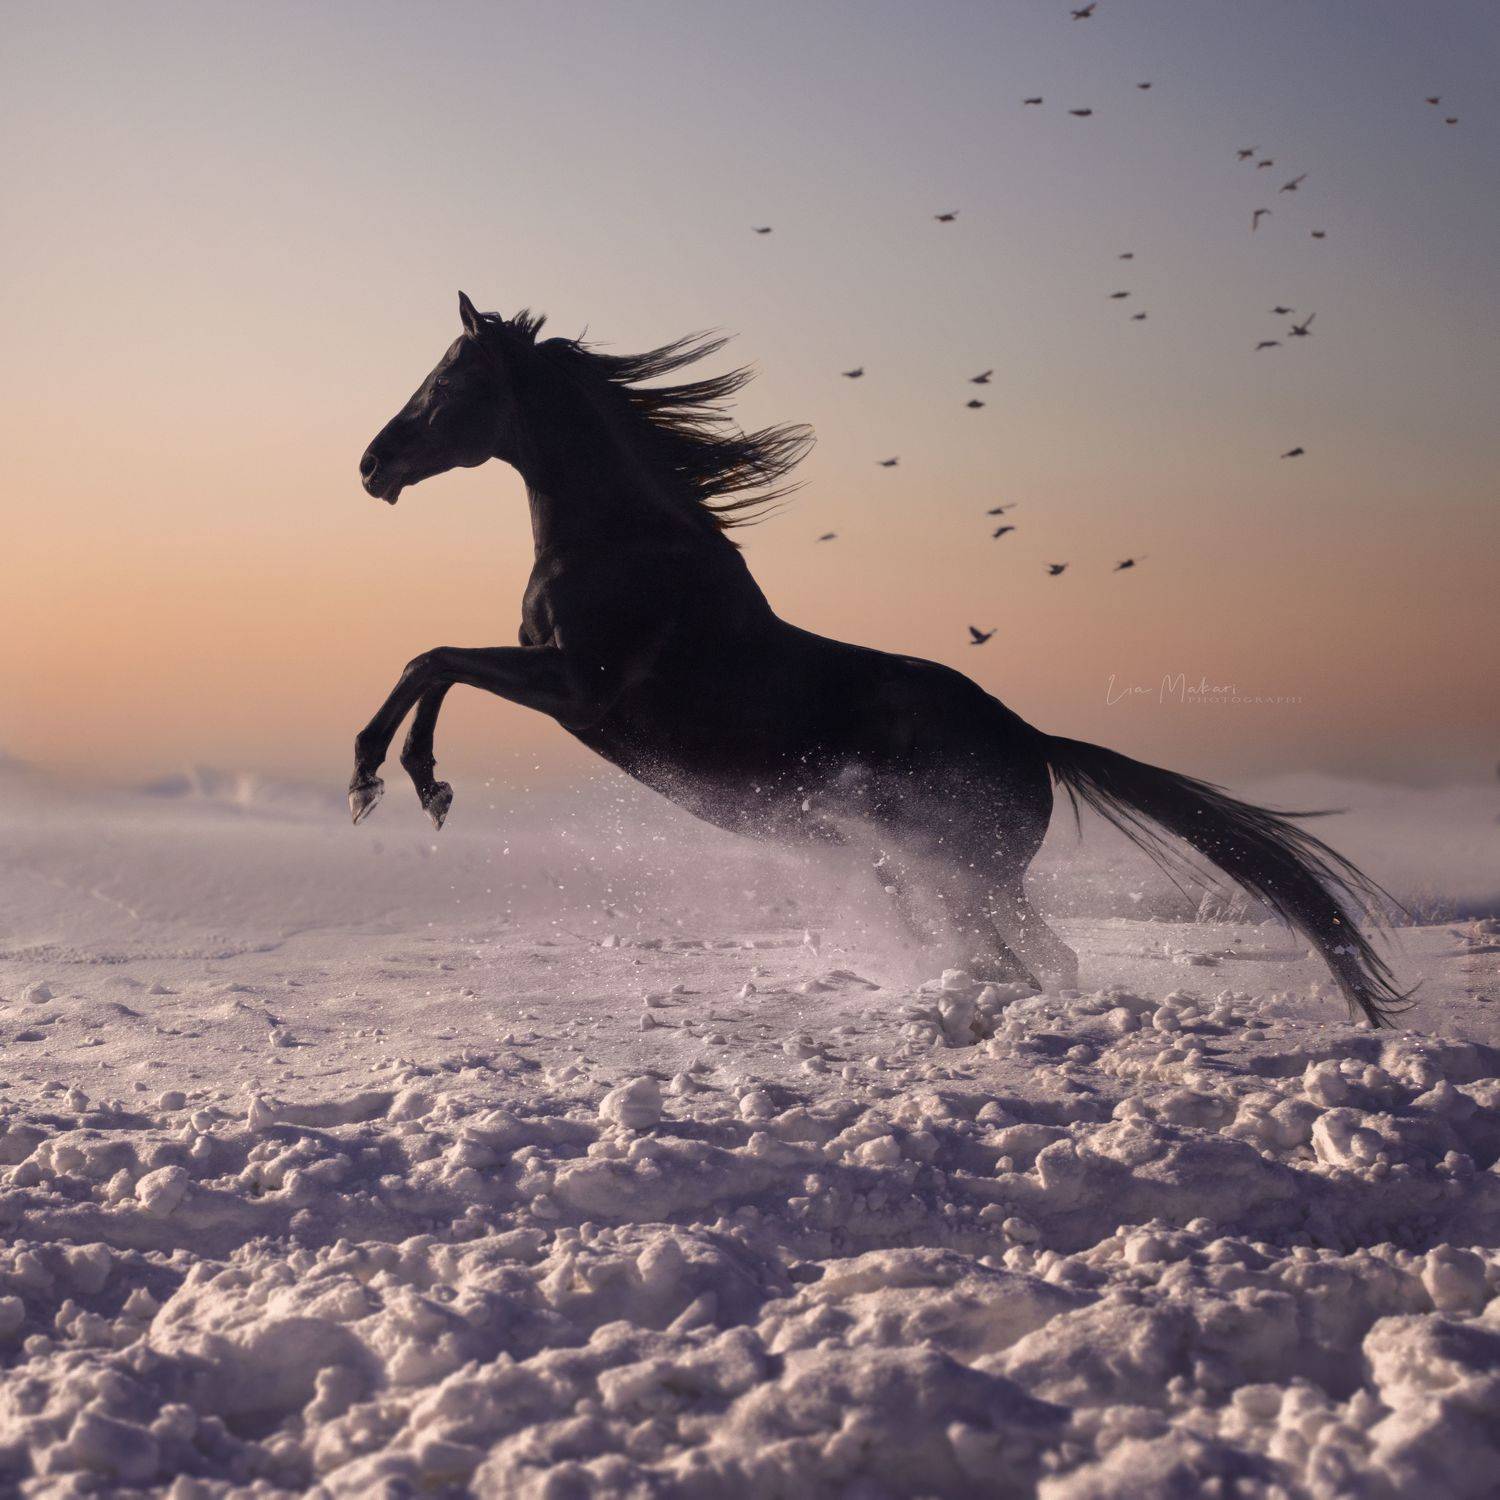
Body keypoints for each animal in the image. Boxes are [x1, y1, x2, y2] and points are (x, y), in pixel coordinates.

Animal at [351, 293, 1407, 1026]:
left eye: (449, 387)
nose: (371, 464)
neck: (625, 543)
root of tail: (1036, 742)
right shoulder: (559, 685)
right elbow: (435, 663)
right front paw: (417, 785)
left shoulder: (579, 689)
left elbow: (431, 659)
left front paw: (385, 777)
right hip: (950, 874)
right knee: (1037, 959)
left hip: (958, 869)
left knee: (1021, 962)